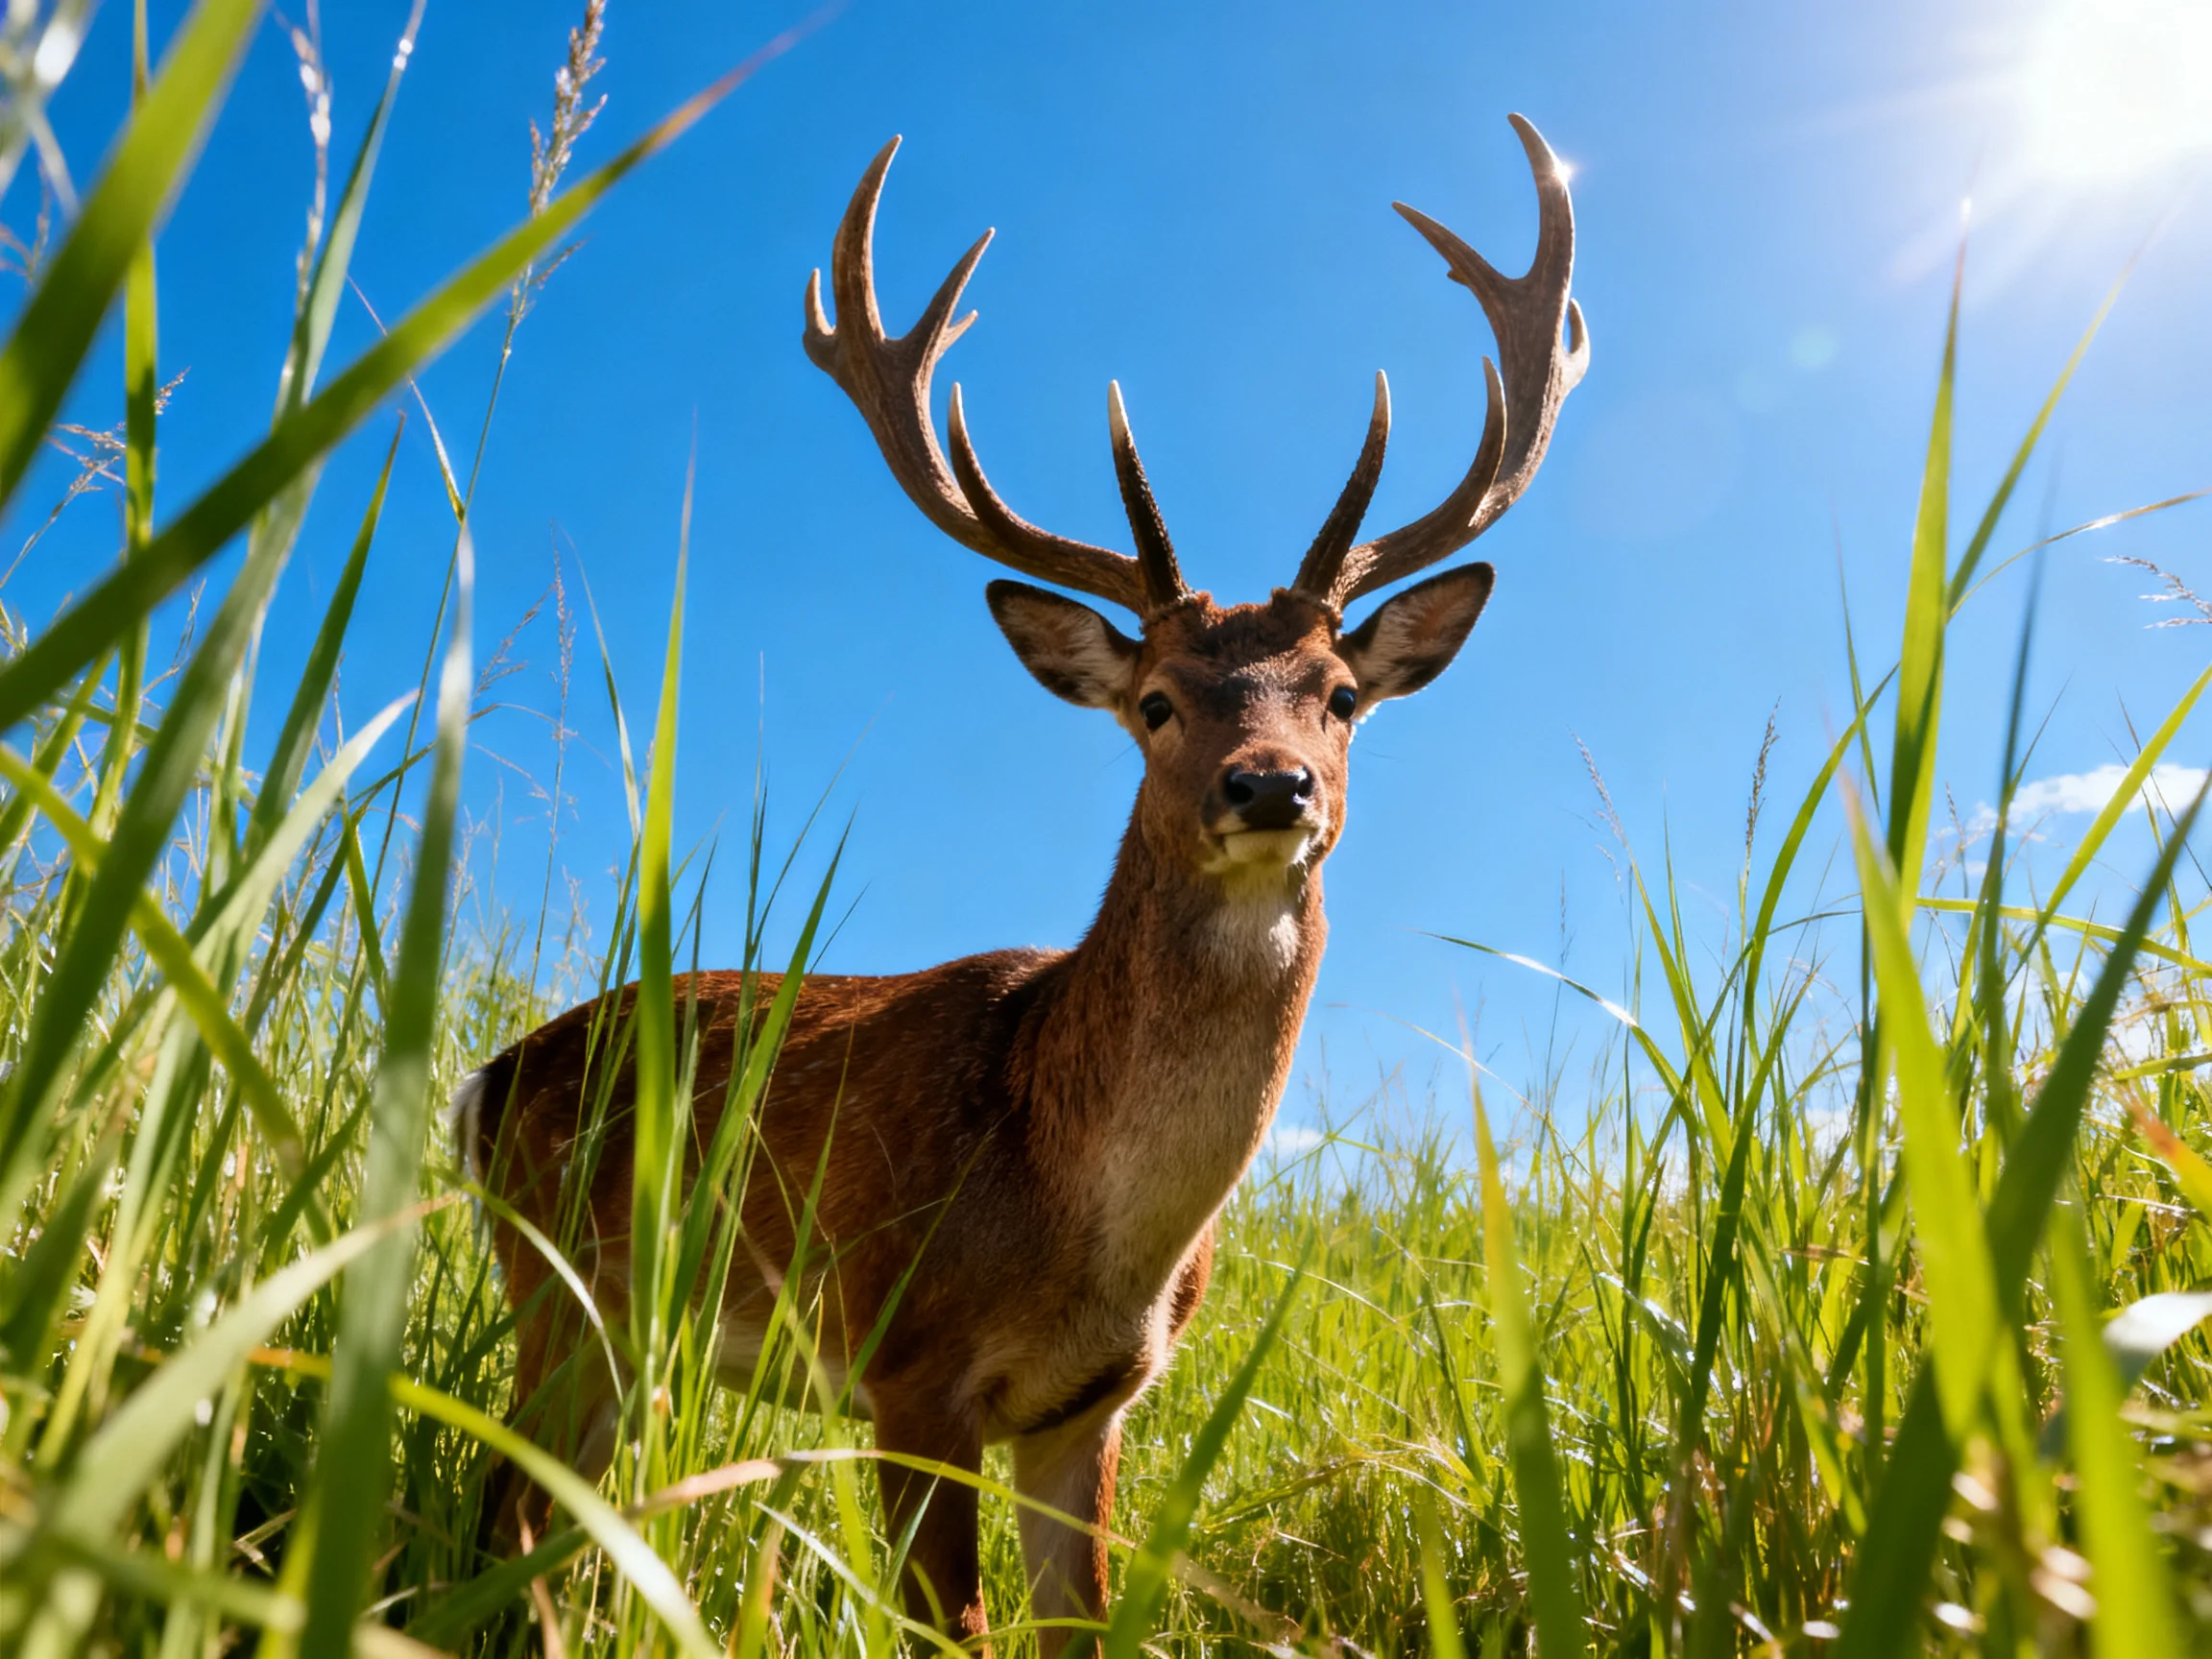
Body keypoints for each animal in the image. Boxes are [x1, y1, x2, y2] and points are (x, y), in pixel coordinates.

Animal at [457, 116, 1584, 1654]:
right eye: (1156, 702)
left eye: (1343, 696)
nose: (1271, 786)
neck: (1076, 1208)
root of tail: (482, 1081)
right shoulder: (905, 1368)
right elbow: (958, 1622)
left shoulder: (1089, 1408)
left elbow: (1081, 1625)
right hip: (566, 1281)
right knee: (504, 1508)